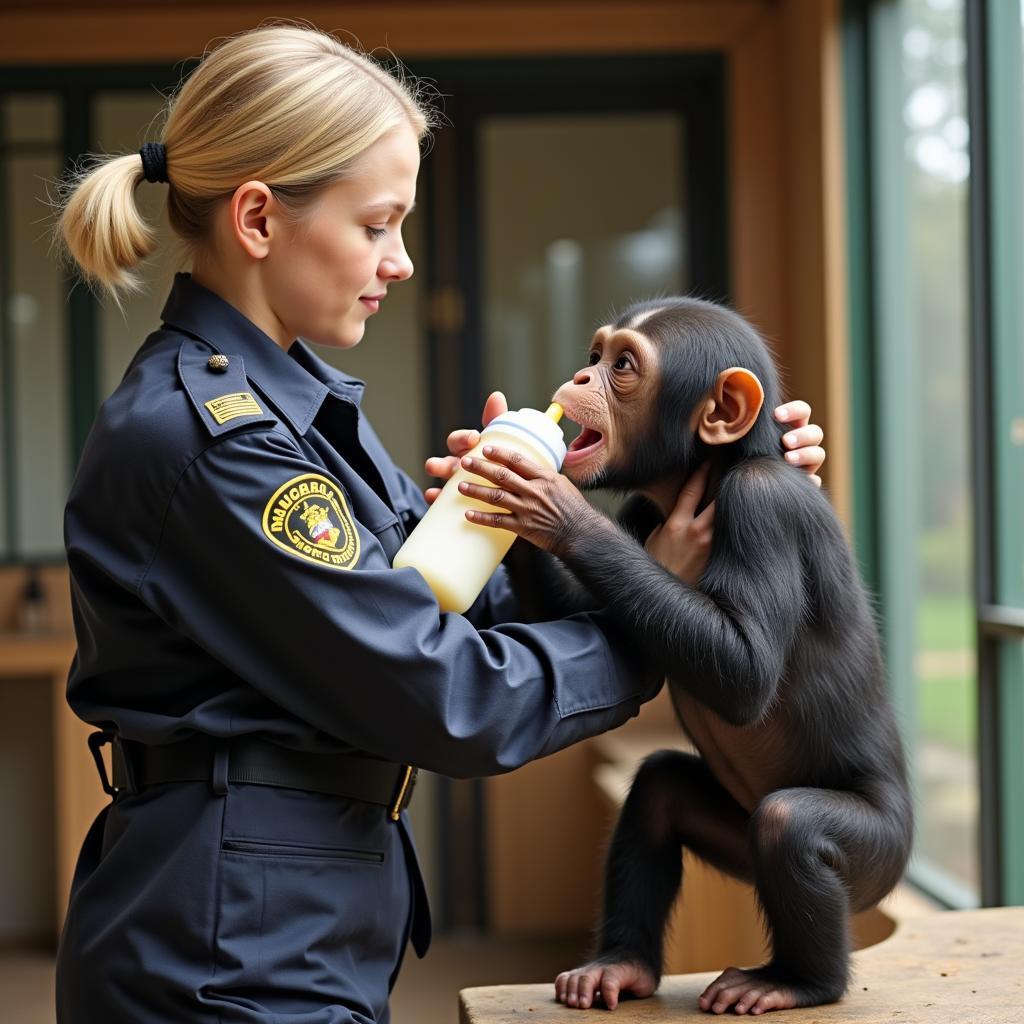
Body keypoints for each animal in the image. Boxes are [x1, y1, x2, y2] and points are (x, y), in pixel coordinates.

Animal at [456, 296, 913, 1015]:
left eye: (622, 367)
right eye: (595, 356)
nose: (581, 379)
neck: (707, 476)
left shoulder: (764, 505)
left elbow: (747, 672)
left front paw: (549, 503)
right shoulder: (644, 513)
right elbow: (576, 610)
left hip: (878, 853)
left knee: (788, 825)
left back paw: (796, 981)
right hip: (735, 839)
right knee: (658, 792)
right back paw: (621, 966)